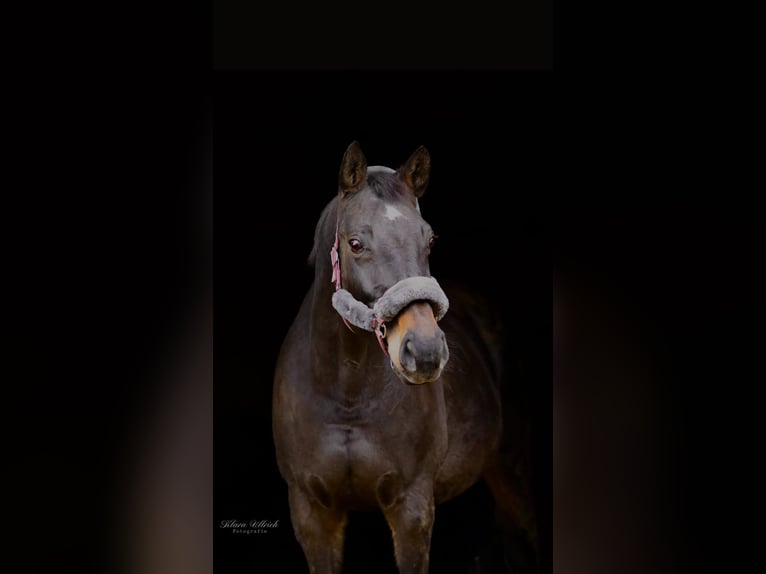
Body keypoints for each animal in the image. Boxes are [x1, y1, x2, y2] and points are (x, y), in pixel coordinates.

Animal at [272, 142, 537, 573]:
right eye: (356, 244)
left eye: (429, 240)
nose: (425, 351)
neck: (346, 397)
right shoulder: (312, 512)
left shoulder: (412, 508)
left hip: (513, 470)